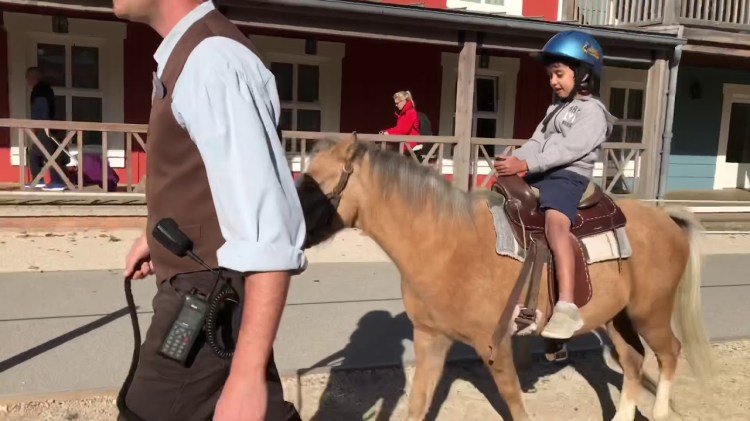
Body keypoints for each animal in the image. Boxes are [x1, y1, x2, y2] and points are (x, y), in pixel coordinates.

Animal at [295, 133, 713, 421]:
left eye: (313, 185)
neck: (445, 243)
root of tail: (666, 218)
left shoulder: (494, 344)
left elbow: (514, 404)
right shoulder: (431, 339)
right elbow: (417, 405)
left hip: (650, 313)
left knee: (669, 353)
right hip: (616, 317)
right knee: (632, 360)